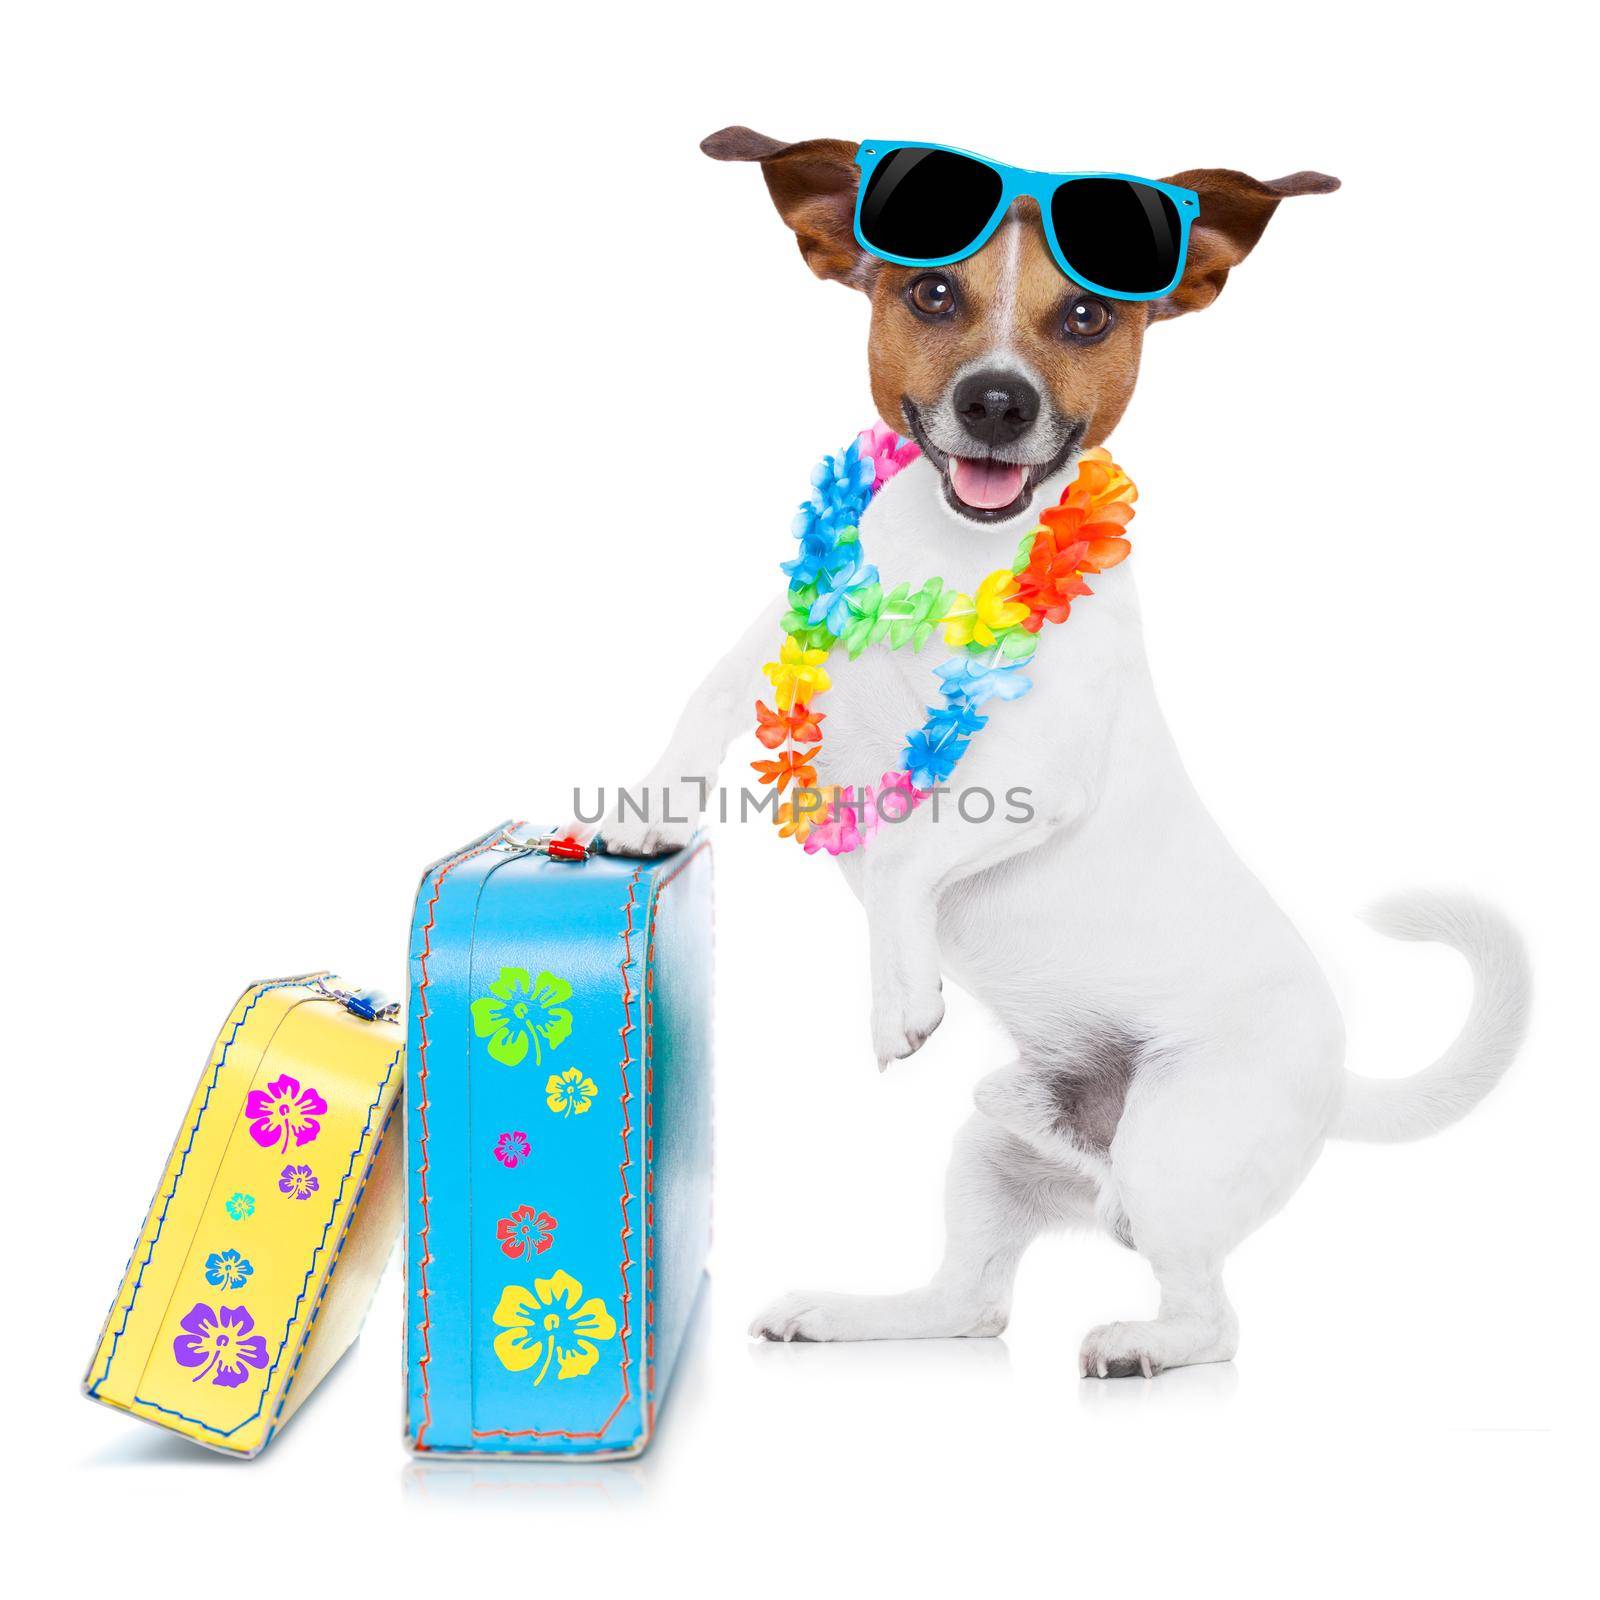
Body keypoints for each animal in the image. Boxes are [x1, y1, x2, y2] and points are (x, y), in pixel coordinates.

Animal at [569, 128, 1529, 1376]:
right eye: (932, 293)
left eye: (1084, 318)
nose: (995, 400)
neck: (947, 559)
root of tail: (1333, 1082)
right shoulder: (777, 645)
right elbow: (702, 702)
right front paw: (647, 810)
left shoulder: (1035, 775)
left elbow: (903, 852)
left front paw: (898, 995)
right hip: (991, 1159)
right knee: (969, 1302)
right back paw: (847, 1310)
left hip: (1175, 1150)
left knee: (1211, 1314)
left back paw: (1140, 1343)